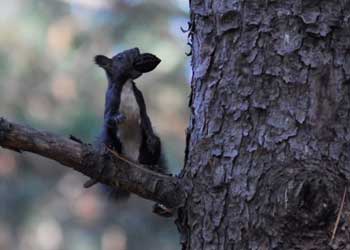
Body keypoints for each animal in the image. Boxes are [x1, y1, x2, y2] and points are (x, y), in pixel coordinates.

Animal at [89, 47, 167, 199]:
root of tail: (131, 160)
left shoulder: (140, 98)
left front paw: (151, 139)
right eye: (119, 57)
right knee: (109, 142)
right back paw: (110, 153)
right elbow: (108, 117)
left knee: (151, 155)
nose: (136, 49)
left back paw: (153, 166)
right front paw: (118, 118)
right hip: (112, 142)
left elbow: (145, 118)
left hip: (144, 154)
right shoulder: (111, 98)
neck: (126, 83)